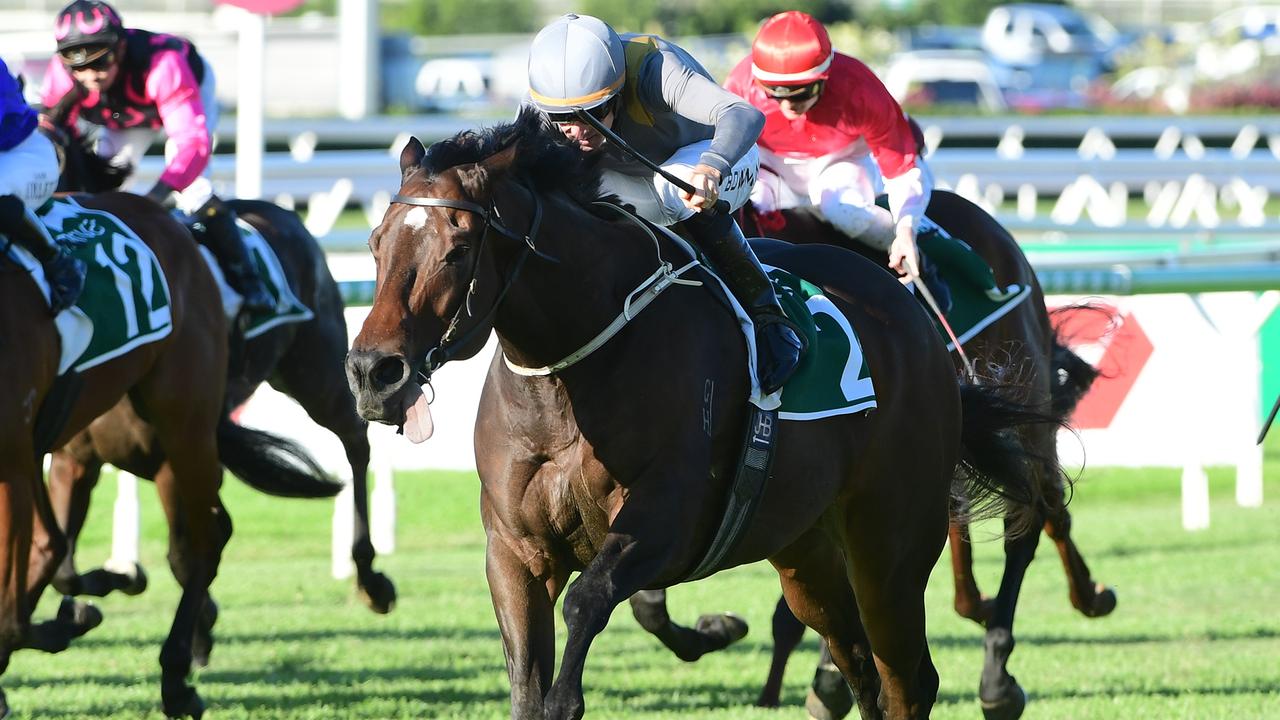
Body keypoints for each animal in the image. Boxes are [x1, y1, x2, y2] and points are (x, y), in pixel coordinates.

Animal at [43, 121, 394, 609]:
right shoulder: (74, 460)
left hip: (315, 374)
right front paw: (127, 580)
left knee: (355, 442)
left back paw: (369, 574)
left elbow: (190, 546)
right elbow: (65, 567)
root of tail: (282, 214)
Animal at [343, 107, 1059, 717]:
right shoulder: (514, 552)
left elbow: (590, 603)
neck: (570, 375)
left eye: (459, 246)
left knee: (913, 673)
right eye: (376, 242)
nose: (374, 373)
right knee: (860, 667)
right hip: (808, 551)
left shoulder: (664, 521)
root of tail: (909, 307)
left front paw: (698, 635)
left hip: (890, 544)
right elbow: (529, 674)